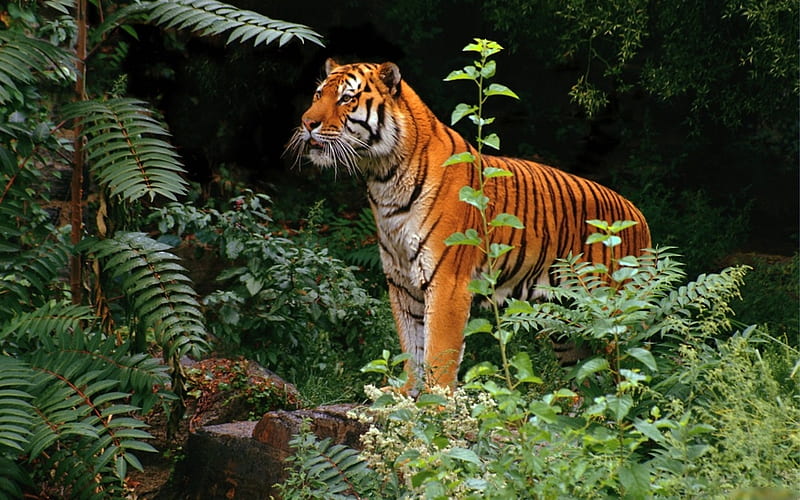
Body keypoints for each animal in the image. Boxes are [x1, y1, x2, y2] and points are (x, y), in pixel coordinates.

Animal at [286, 59, 648, 394]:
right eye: (318, 94)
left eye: (346, 98)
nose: (306, 122)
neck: (384, 178)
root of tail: (639, 216)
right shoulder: (401, 284)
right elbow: (411, 346)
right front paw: (406, 394)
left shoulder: (447, 281)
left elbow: (438, 352)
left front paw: (436, 405)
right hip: (566, 323)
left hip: (615, 314)